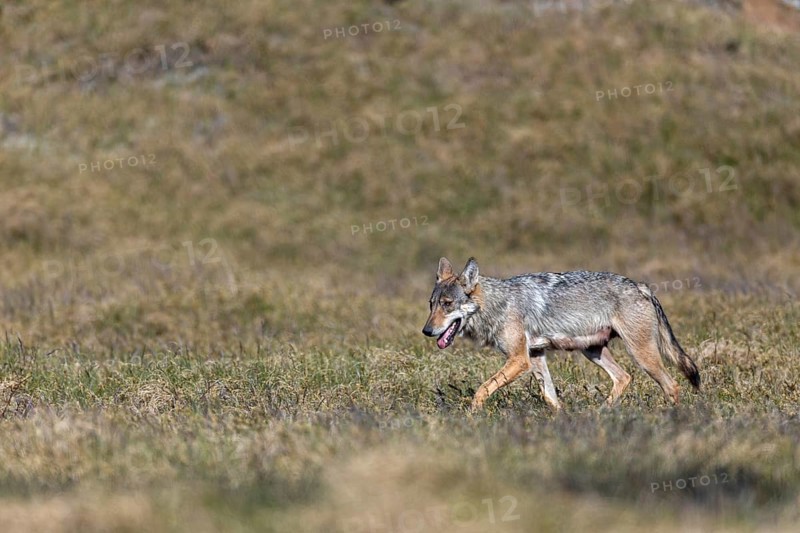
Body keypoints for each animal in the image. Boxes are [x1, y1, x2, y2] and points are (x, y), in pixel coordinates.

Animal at [421, 257, 700, 411]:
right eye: (431, 304)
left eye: (447, 304)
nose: (426, 331)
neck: (499, 304)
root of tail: (641, 286)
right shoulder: (535, 356)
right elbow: (550, 397)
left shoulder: (519, 360)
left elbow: (481, 390)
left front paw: (472, 417)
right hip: (593, 352)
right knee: (624, 377)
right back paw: (600, 415)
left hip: (641, 355)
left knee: (672, 385)